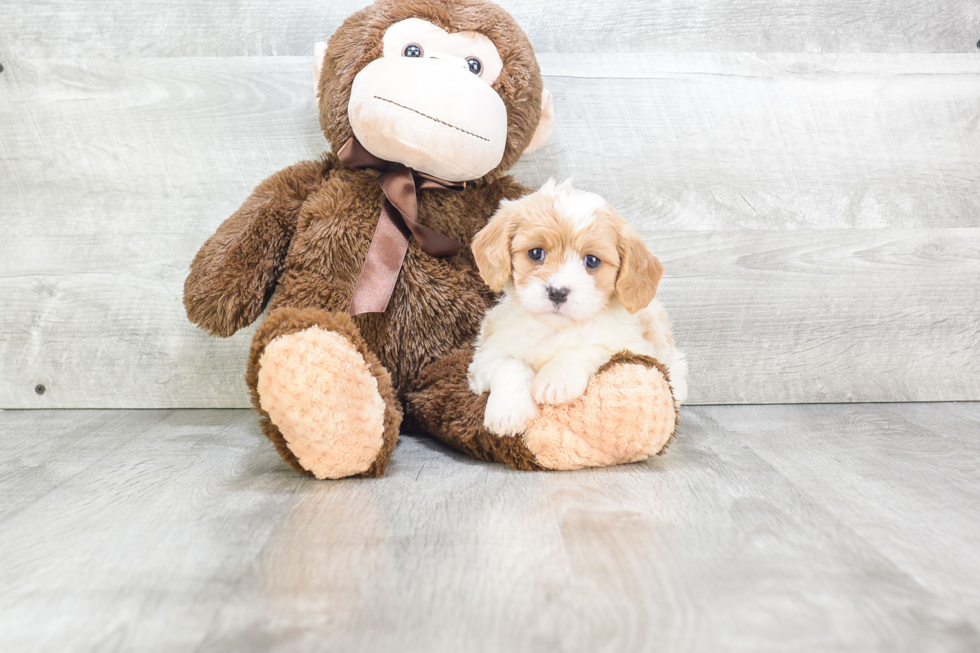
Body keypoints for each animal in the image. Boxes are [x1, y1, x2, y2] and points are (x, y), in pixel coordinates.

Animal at [468, 177, 688, 438]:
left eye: (591, 261)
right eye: (536, 253)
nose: (557, 292)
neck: (554, 329)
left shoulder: (629, 346)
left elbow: (586, 348)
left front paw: (555, 379)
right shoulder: (485, 355)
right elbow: (510, 365)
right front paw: (509, 412)